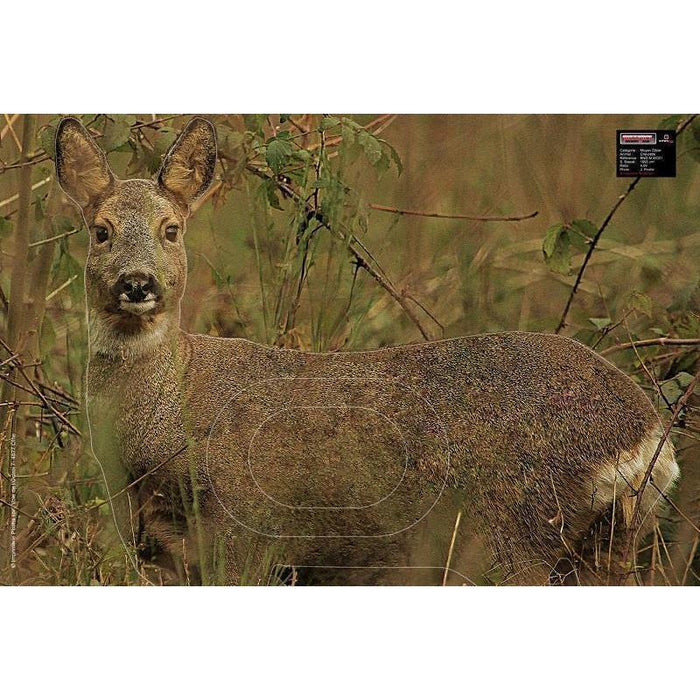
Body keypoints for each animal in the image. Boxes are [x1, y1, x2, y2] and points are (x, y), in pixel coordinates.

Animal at [54, 116, 680, 584]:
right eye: (102, 230)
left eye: (171, 230)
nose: (138, 283)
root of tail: (646, 435)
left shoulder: (245, 530)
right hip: (604, 547)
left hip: (510, 529)